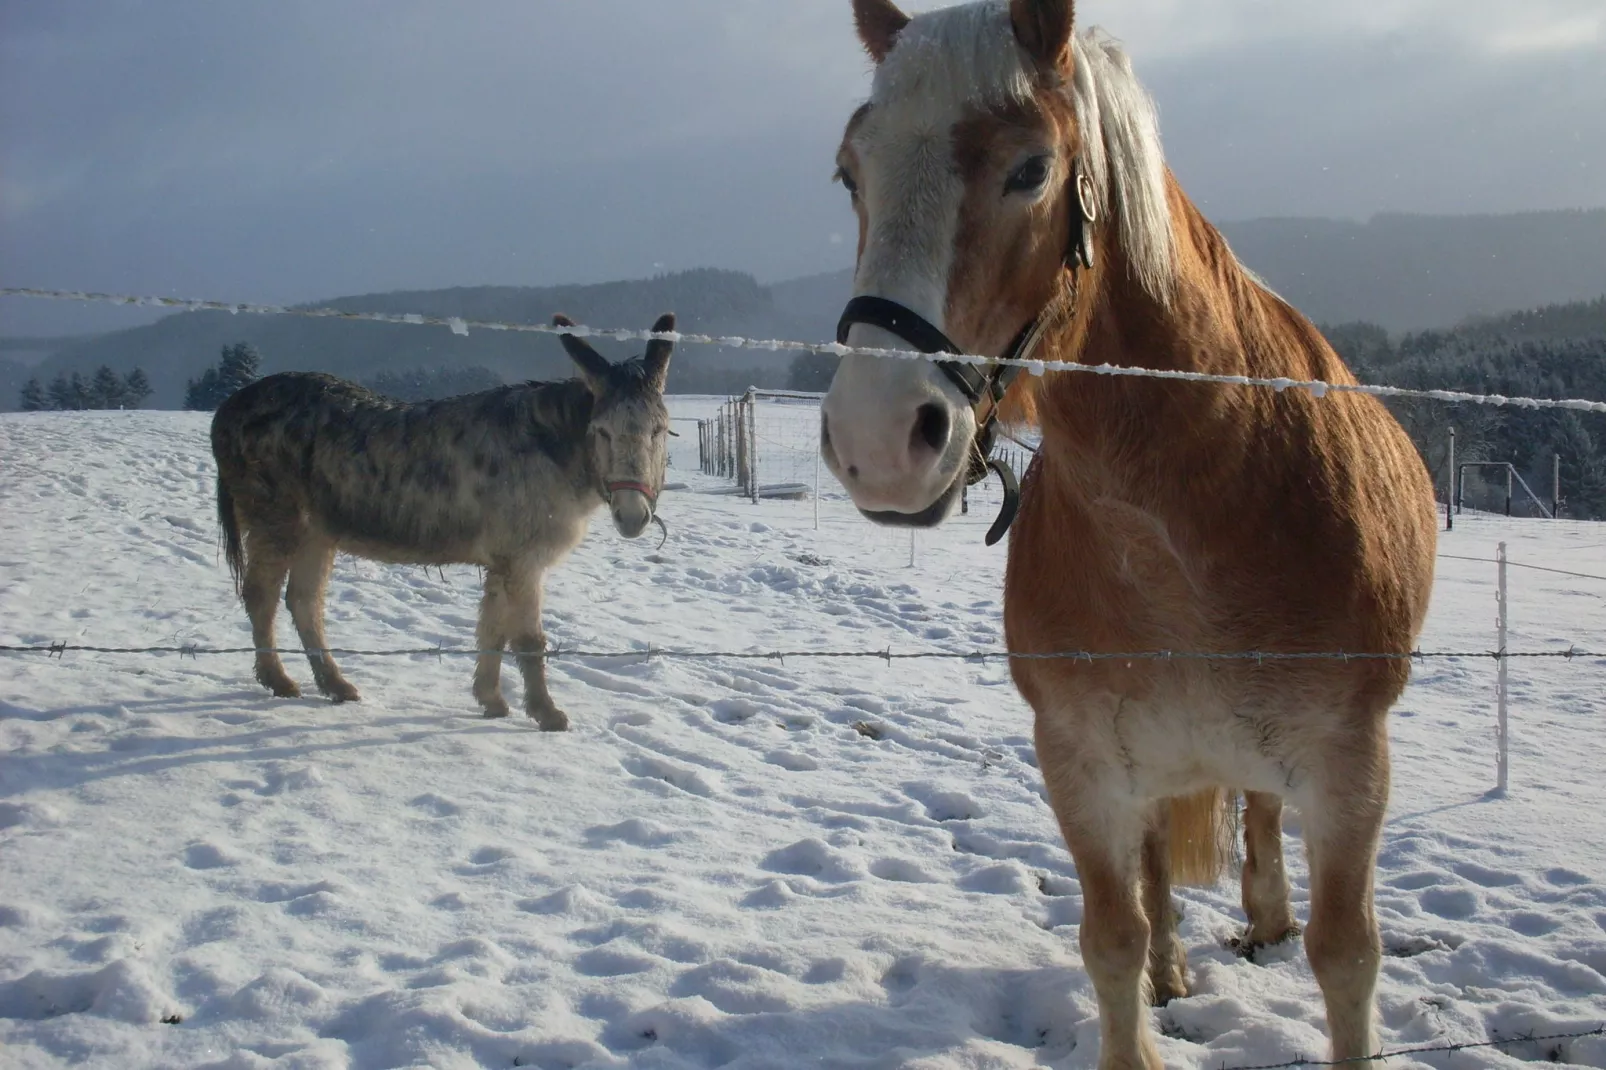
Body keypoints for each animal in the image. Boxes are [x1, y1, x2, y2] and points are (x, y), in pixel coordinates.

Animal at [210, 308, 674, 726]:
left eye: (659, 430)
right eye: (602, 432)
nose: (632, 517)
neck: (559, 456)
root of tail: (229, 405)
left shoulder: (503, 560)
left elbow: (491, 629)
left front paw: (492, 701)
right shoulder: (524, 558)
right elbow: (528, 638)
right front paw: (546, 714)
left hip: (317, 530)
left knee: (304, 601)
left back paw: (335, 685)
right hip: (273, 515)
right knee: (262, 595)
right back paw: (278, 680)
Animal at [822, 4, 1438, 1060]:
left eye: (1031, 169)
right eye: (851, 172)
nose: (877, 438)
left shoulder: (1349, 770)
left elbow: (1347, 960)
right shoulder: (1081, 764)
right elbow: (1112, 936)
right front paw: (1144, 988)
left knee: (1261, 816)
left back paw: (1265, 914)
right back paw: (1174, 968)